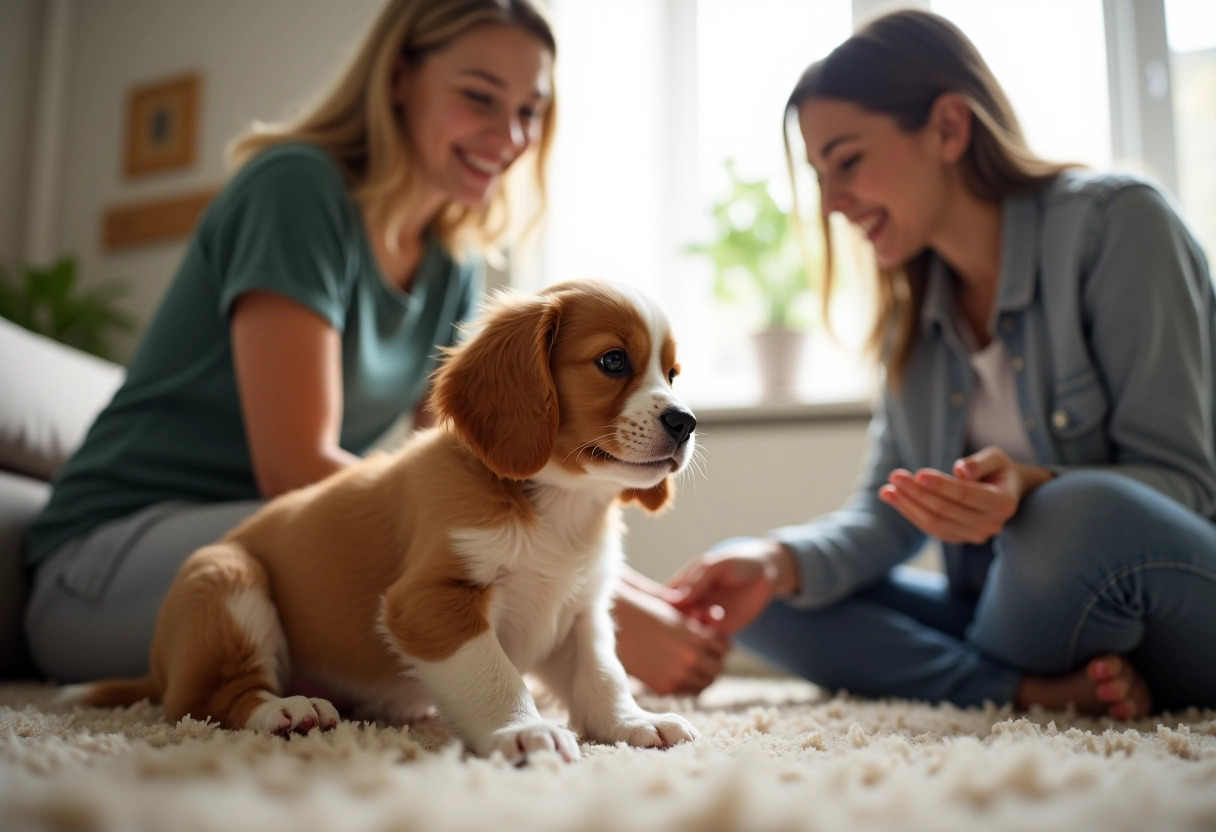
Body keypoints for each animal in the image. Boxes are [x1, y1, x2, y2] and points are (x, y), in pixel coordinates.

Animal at [76, 280, 700, 768]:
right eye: (613, 361)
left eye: (672, 373)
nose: (686, 421)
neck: (560, 507)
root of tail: (157, 669)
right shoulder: (431, 601)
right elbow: (495, 674)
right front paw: (525, 730)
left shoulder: (579, 612)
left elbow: (603, 674)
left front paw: (632, 722)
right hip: (227, 577)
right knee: (209, 701)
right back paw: (286, 709)